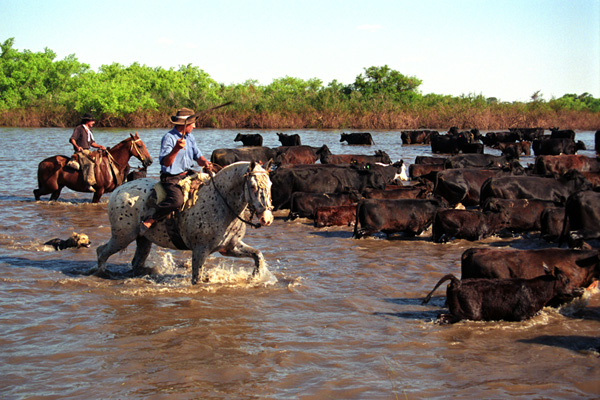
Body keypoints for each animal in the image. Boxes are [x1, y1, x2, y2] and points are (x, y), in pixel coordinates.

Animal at [96, 160, 274, 284]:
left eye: (271, 184)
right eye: (253, 186)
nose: (266, 218)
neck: (221, 203)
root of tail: (119, 191)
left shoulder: (230, 247)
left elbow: (257, 255)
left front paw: (255, 277)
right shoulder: (200, 251)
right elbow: (197, 279)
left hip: (143, 239)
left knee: (136, 261)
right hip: (122, 237)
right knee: (101, 252)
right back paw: (102, 273)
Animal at [422, 268, 580, 324]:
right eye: (566, 280)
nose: (578, 290)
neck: (535, 290)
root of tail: (457, 282)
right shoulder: (520, 316)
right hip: (467, 314)